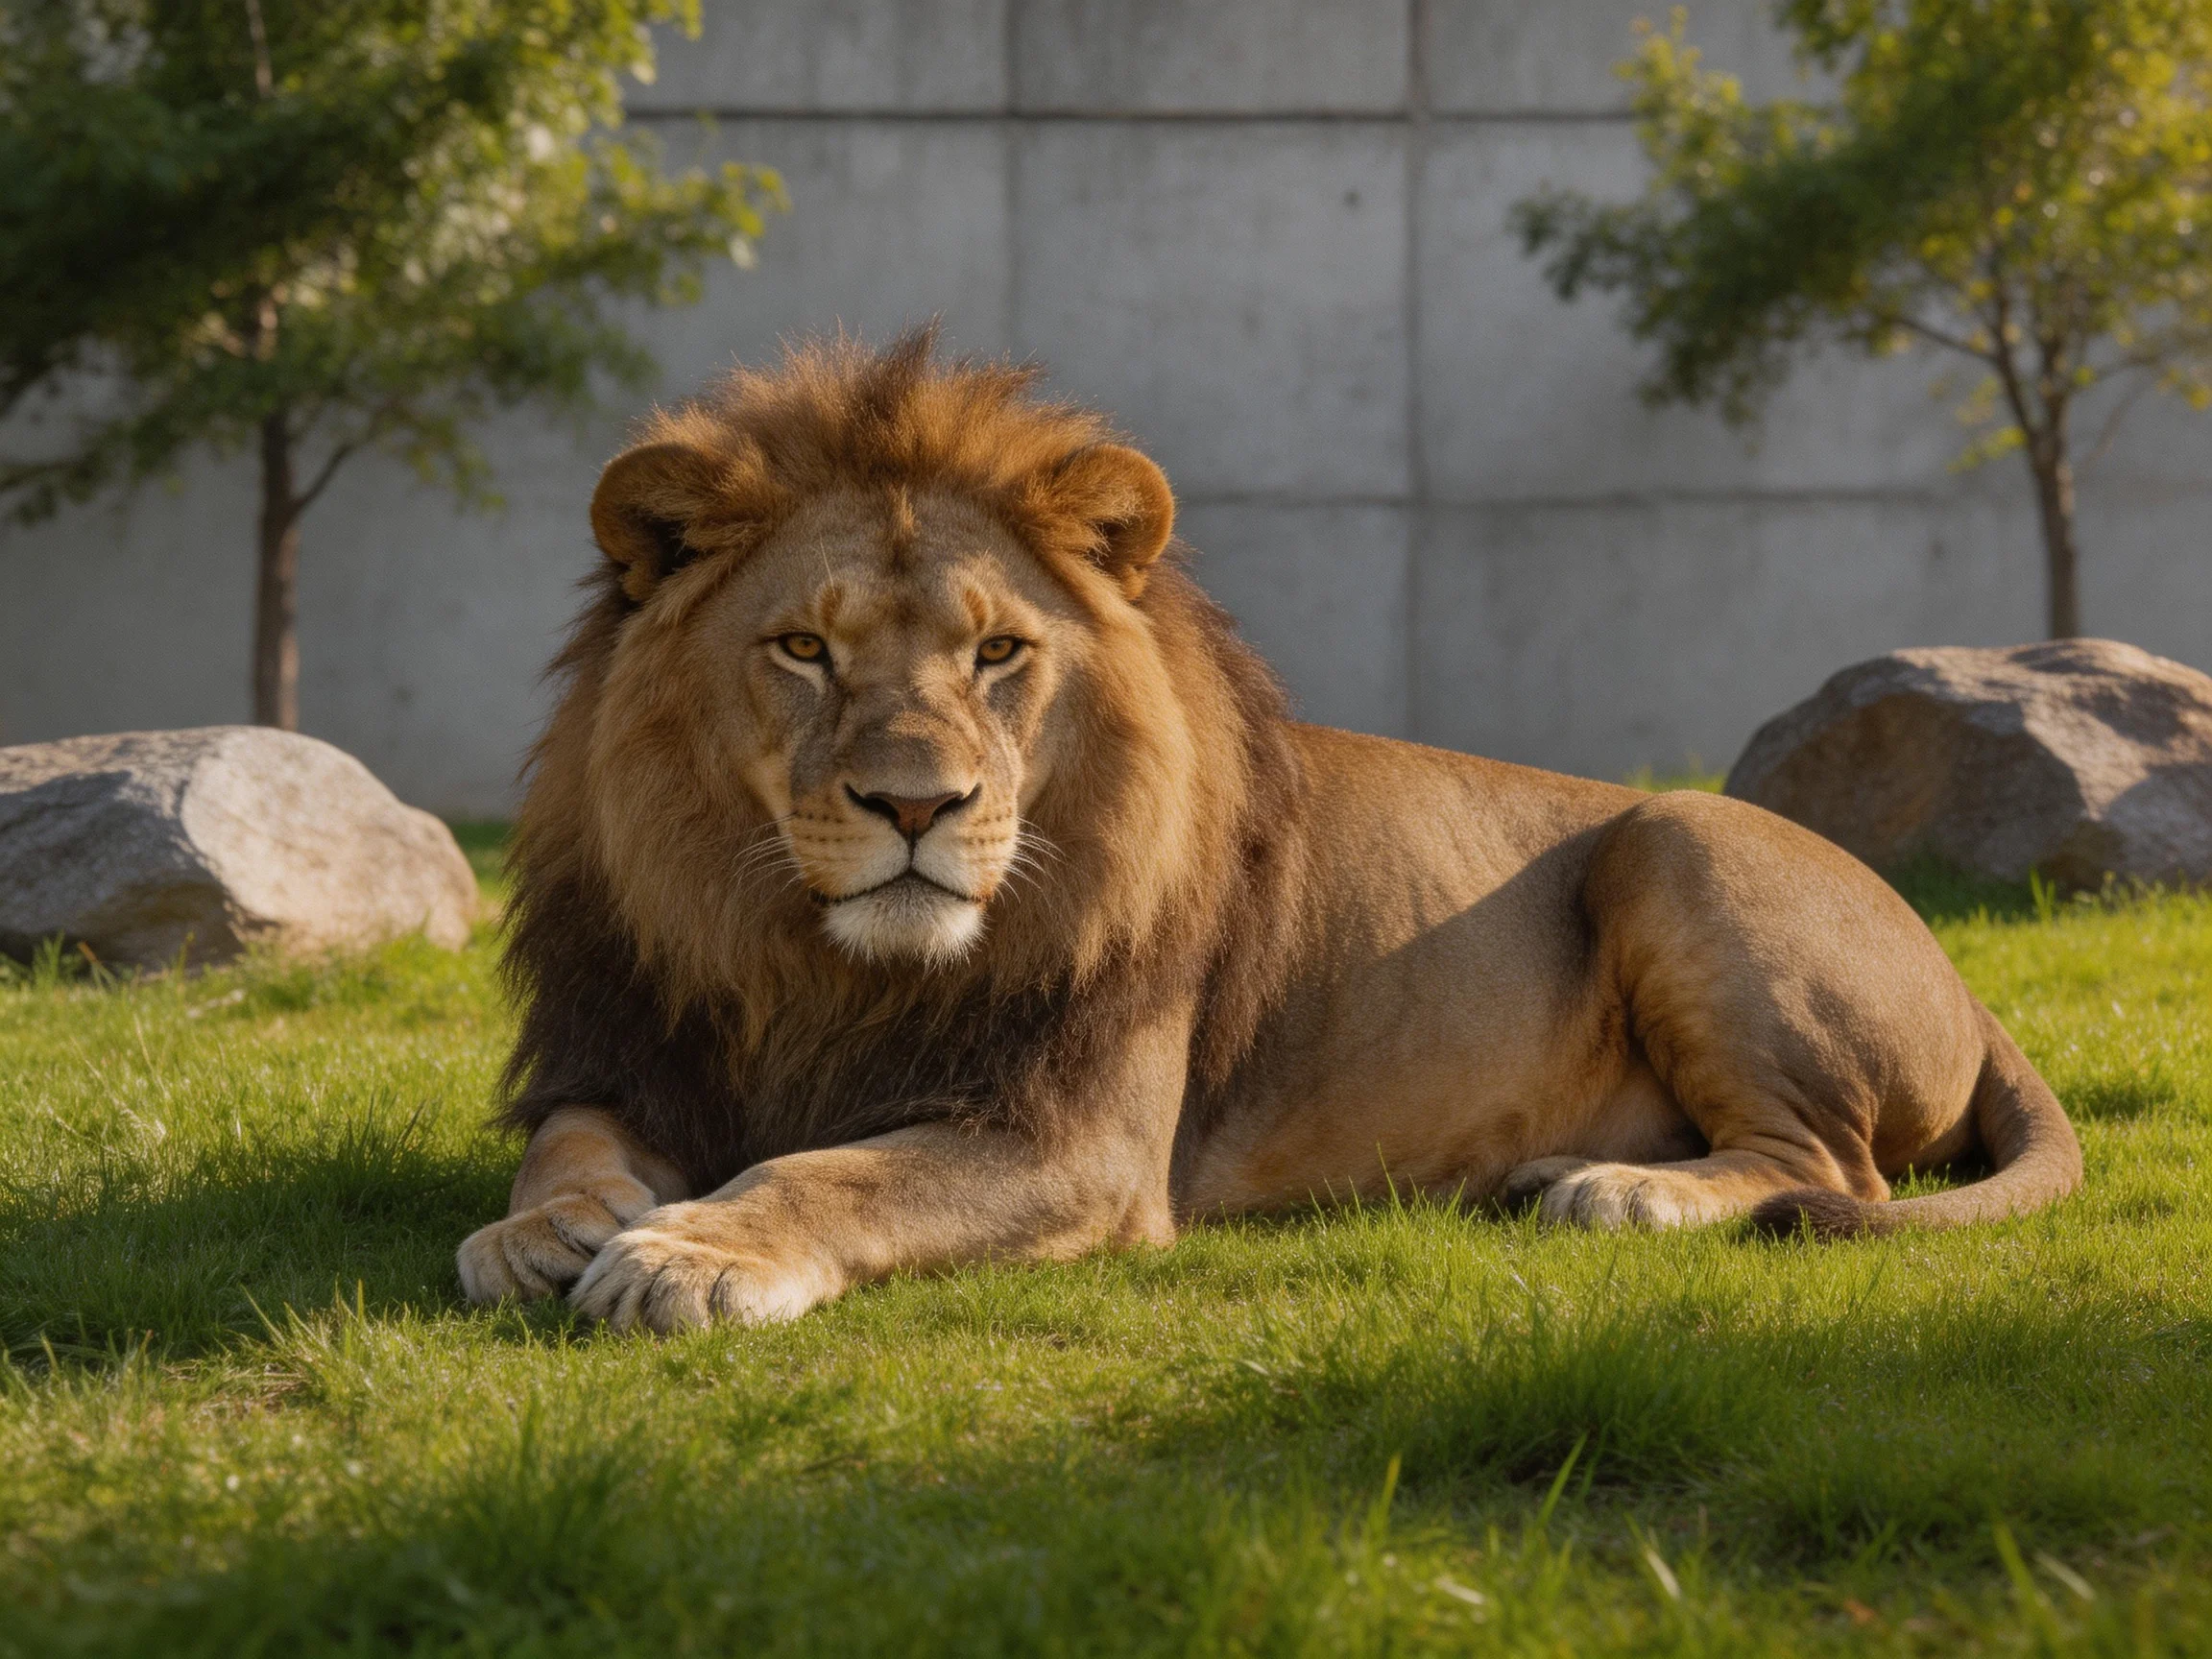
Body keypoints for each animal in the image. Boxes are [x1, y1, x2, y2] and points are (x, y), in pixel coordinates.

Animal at [456, 331, 2082, 1333]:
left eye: (998, 654)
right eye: (803, 648)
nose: (918, 806)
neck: (813, 964)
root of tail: (1974, 984)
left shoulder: (1082, 1140)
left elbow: (835, 1174)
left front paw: (693, 1247)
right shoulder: (630, 1044)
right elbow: (567, 1148)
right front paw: (552, 1228)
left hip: (1680, 841)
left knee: (1831, 1174)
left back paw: (1617, 1193)